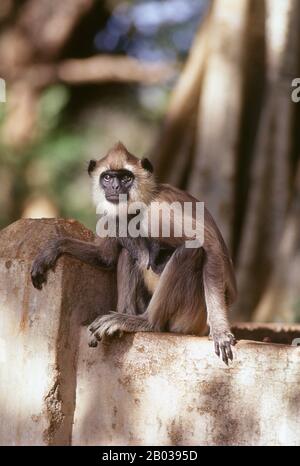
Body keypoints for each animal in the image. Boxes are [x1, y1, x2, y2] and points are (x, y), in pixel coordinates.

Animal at [30, 142, 237, 364]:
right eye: (108, 177)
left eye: (125, 178)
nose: (115, 187)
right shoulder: (110, 214)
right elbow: (105, 257)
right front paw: (53, 248)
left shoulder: (159, 211)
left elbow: (212, 248)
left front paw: (221, 332)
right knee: (129, 251)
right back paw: (124, 317)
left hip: (191, 317)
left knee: (191, 251)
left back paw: (147, 322)